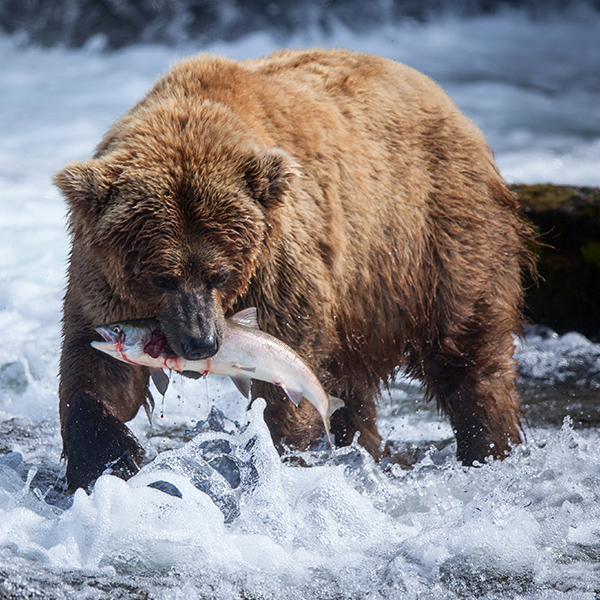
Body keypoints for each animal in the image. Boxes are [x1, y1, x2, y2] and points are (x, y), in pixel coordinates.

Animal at [55, 49, 536, 490]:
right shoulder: (103, 278)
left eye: (220, 273)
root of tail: (444, 100)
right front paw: (109, 461)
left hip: (433, 237)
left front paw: (276, 456)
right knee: (353, 389)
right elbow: (99, 372)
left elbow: (285, 377)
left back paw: (491, 448)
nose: (201, 342)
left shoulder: (279, 269)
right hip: (359, 300)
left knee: (469, 353)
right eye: (161, 276)